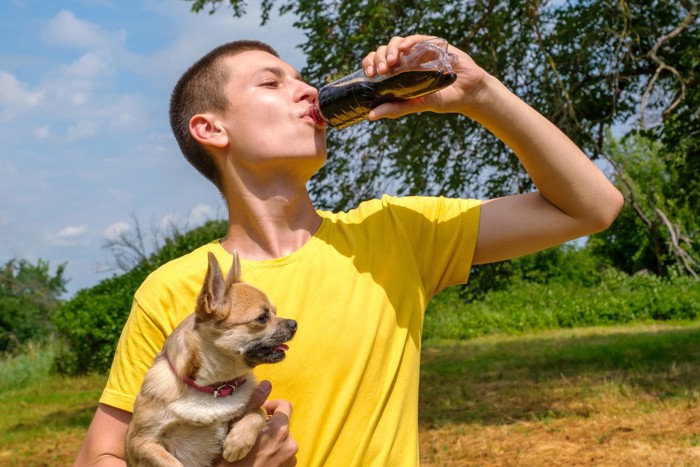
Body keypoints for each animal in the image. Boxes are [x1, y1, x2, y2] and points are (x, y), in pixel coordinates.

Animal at [126, 254, 296, 466]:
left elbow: (259, 412)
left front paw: (237, 442)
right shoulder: (140, 443)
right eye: (263, 318)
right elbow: (173, 463)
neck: (213, 387)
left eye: (275, 312)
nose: (294, 323)